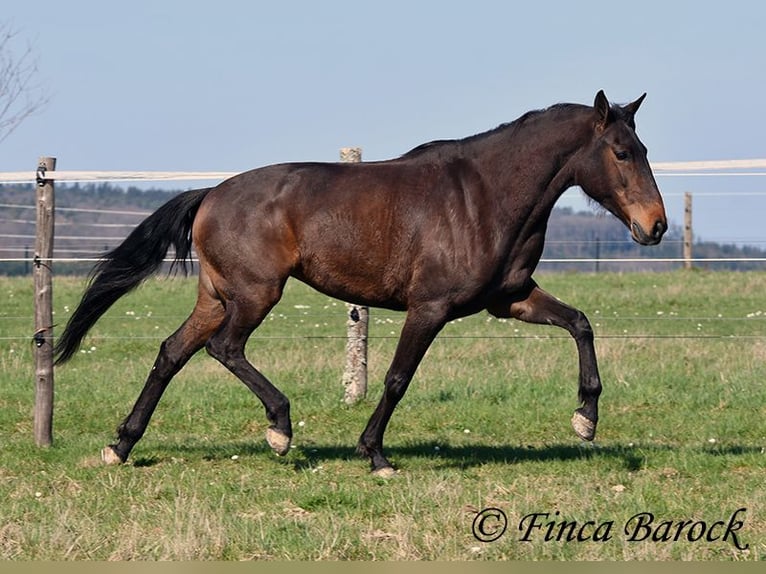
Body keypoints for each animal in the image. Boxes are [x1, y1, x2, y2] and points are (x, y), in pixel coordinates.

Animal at [54, 90, 666, 477]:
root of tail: (210, 194)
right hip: (254, 294)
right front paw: (375, 456)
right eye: (620, 152)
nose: (655, 226)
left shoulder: (509, 299)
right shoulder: (429, 307)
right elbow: (396, 379)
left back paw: (120, 446)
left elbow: (580, 324)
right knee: (223, 348)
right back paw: (280, 429)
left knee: (171, 352)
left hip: (217, 296)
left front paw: (586, 419)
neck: (486, 197)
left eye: (644, 149)